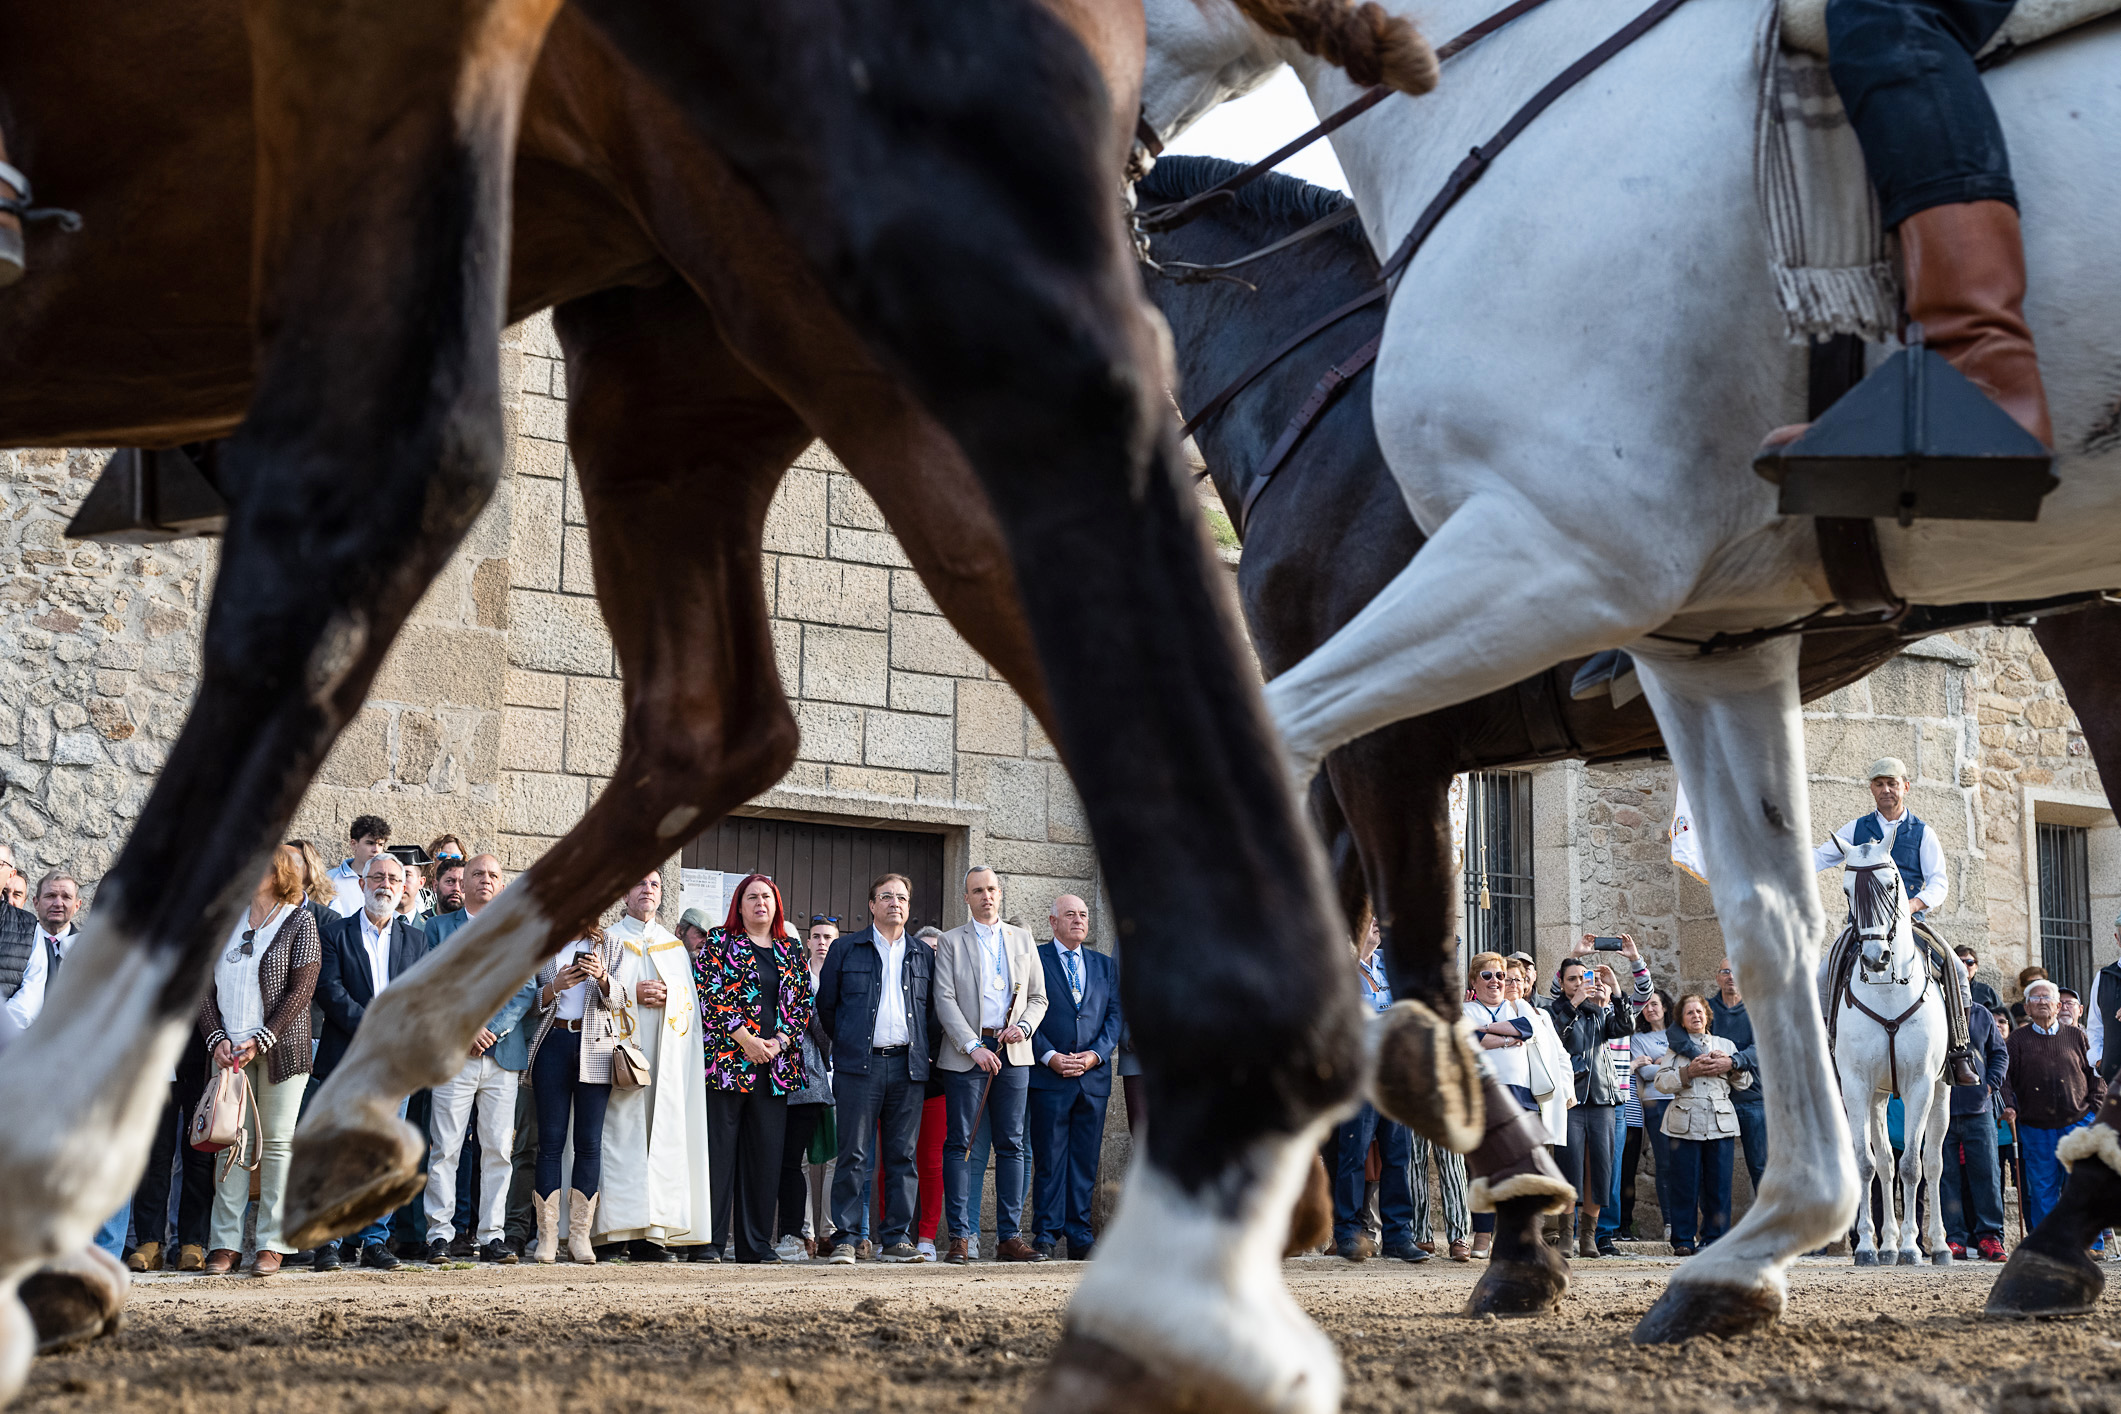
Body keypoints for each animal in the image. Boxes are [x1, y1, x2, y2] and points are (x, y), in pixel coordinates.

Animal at [1832, 839, 1942, 1271]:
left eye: (1893, 884)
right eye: (1847, 890)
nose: (1875, 958)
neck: (1888, 990)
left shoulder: (1921, 1086)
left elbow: (1914, 1166)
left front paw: (1913, 1247)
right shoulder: (1857, 1087)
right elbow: (1866, 1164)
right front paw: (1867, 1245)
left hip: (1943, 1093)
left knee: (1935, 1162)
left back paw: (1938, 1246)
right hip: (1878, 1097)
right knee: (1884, 1163)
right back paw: (1888, 1245)